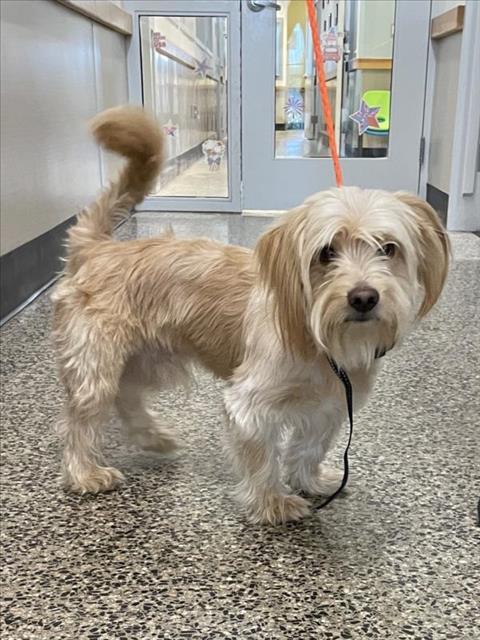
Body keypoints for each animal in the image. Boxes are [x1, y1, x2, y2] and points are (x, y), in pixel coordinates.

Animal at [52, 106, 450, 524]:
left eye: (388, 248)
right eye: (326, 252)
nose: (364, 298)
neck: (319, 337)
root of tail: (98, 248)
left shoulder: (332, 403)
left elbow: (311, 446)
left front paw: (309, 480)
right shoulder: (250, 404)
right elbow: (261, 457)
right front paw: (272, 501)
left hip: (146, 359)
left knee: (125, 396)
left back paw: (153, 437)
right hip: (96, 363)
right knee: (80, 419)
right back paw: (84, 472)